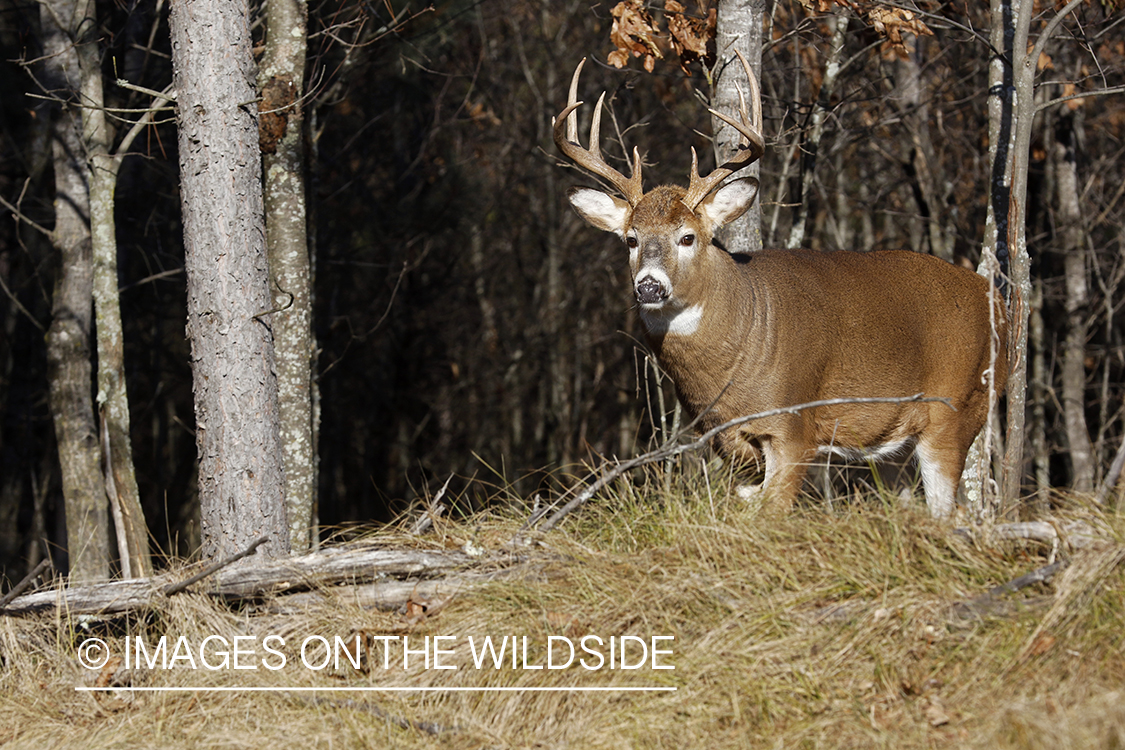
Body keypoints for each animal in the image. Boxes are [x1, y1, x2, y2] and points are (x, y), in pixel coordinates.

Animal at [553, 55, 1012, 519]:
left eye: (688, 237)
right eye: (631, 239)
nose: (649, 287)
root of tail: (1001, 303)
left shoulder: (795, 425)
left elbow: (773, 511)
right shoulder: (726, 438)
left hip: (957, 408)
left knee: (950, 511)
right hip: (896, 441)